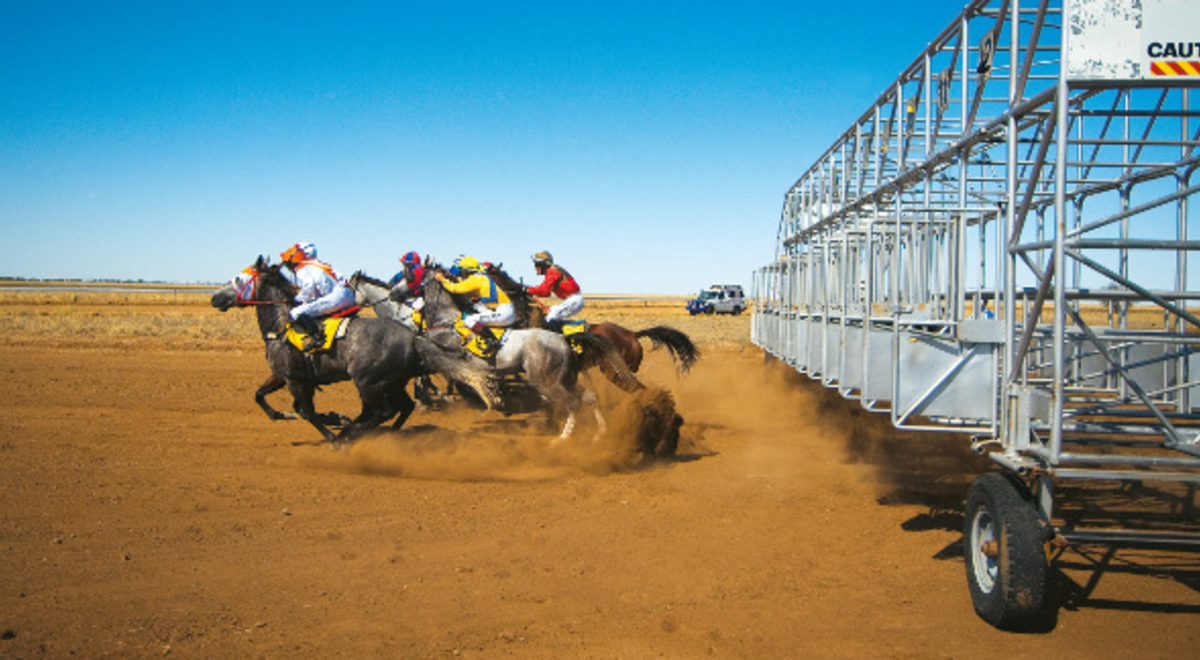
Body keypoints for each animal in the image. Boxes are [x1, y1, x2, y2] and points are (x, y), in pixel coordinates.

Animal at [212, 259, 496, 444]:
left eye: (237, 278)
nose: (216, 298)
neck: (281, 326)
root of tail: (412, 338)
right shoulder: (285, 376)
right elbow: (260, 396)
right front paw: (297, 415)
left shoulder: (294, 379)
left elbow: (306, 411)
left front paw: (333, 431)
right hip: (391, 381)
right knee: (398, 407)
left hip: (368, 381)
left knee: (382, 411)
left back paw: (351, 434)